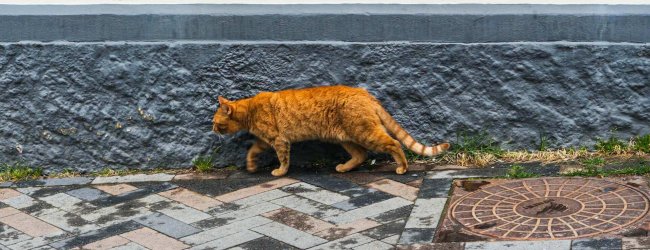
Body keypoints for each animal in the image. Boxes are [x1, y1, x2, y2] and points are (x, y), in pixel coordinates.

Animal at [215, 85, 448, 176]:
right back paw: (344, 167)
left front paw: (280, 172)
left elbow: (283, 159)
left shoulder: (279, 140)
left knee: (395, 143)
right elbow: (252, 150)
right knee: (361, 155)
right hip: (346, 138)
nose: (212, 130)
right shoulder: (264, 141)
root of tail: (364, 93)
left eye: (216, 123)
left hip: (365, 133)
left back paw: (403, 167)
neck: (250, 109)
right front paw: (251, 165)